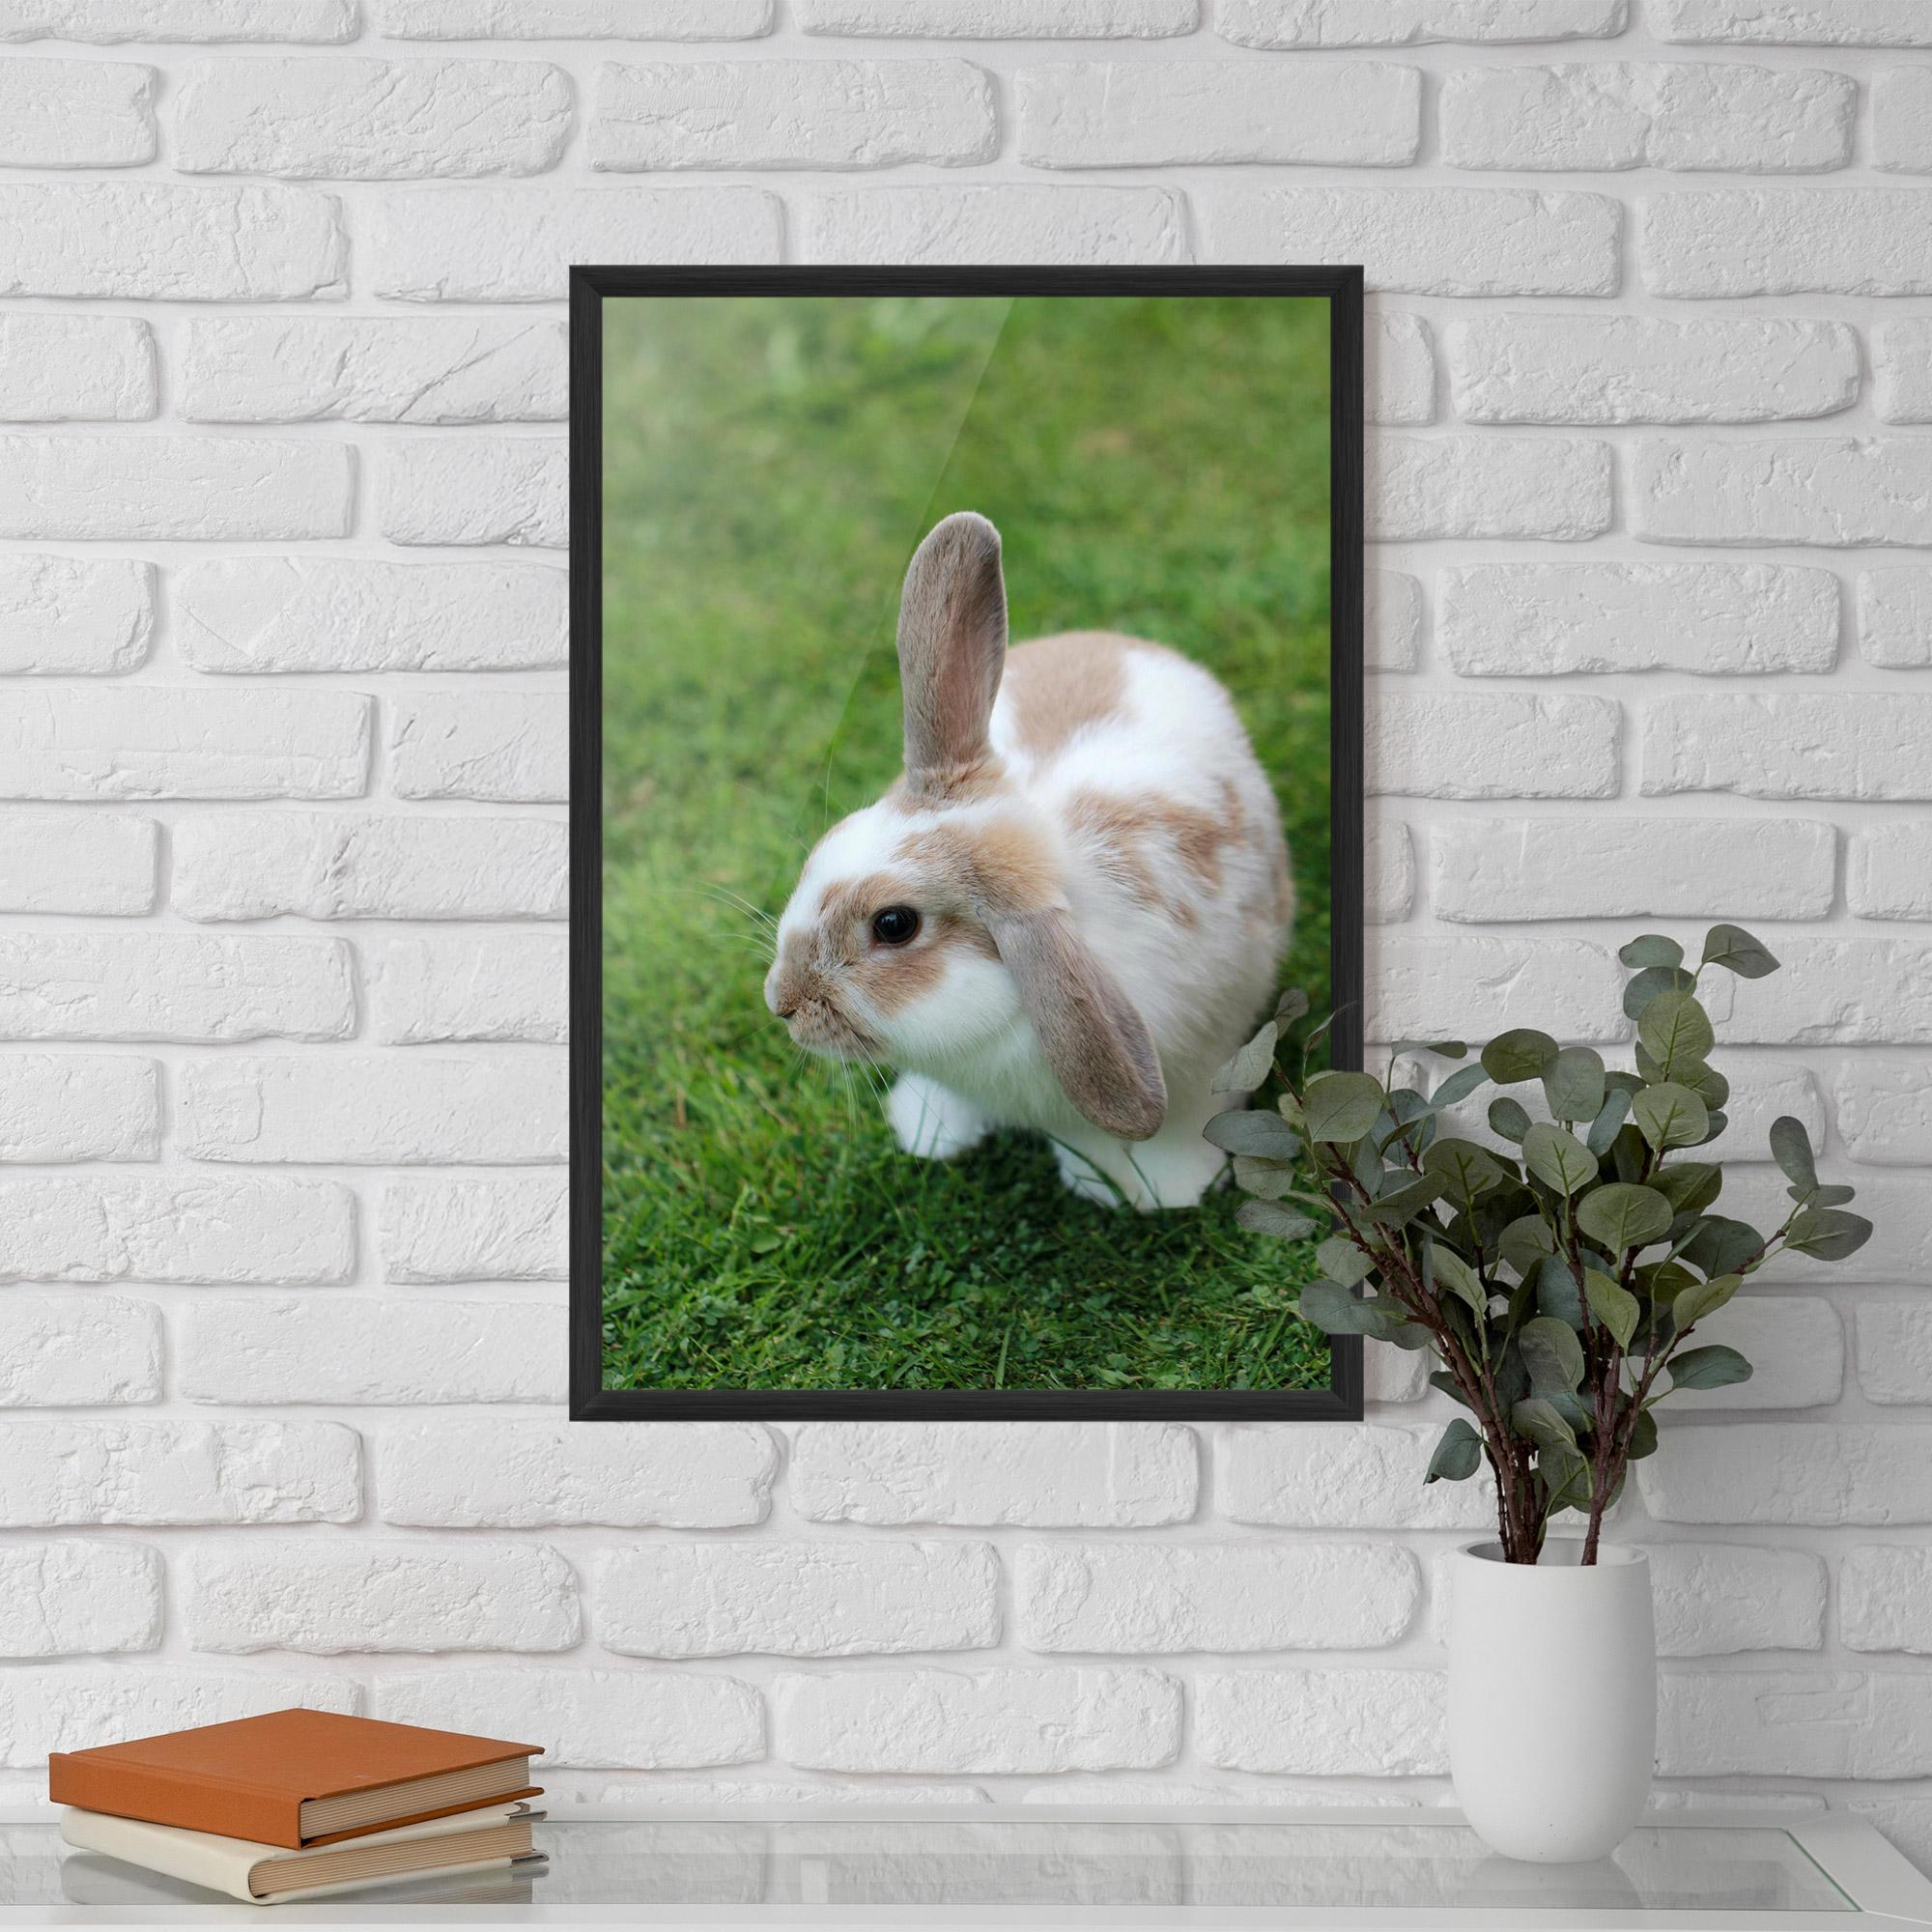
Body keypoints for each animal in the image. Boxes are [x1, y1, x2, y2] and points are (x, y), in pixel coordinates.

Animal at [764, 511, 1293, 1211]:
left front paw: (1168, 1188)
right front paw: (928, 1131)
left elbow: (1178, 1127)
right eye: (831, 842)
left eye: (894, 925)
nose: (782, 1003)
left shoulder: (1205, 1059)